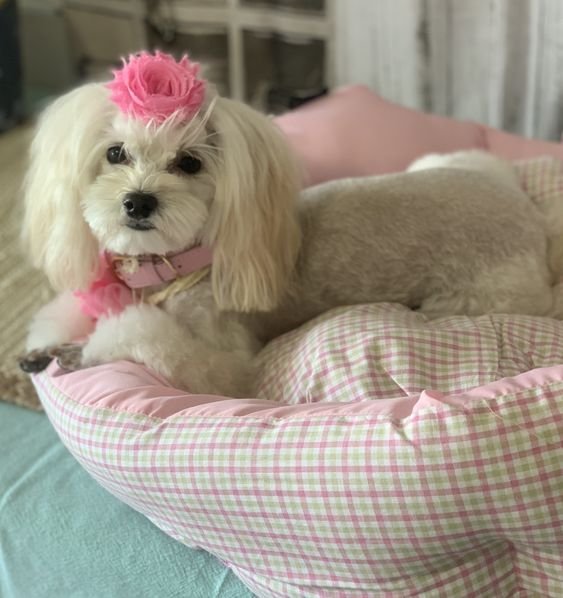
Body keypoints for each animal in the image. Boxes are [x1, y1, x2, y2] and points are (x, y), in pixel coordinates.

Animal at [22, 52, 563, 398]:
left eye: (190, 163)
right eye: (115, 154)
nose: (137, 202)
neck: (178, 267)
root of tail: (533, 221)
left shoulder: (228, 365)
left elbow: (148, 338)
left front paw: (84, 351)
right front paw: (49, 344)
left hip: (470, 299)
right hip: (449, 161)